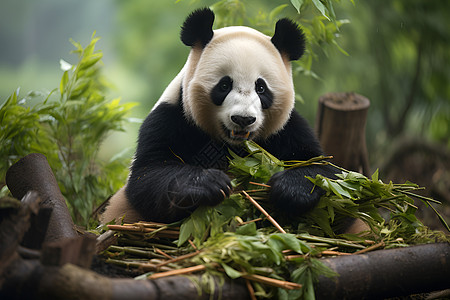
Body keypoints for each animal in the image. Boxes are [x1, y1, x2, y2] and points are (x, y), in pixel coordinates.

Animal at [102, 7, 340, 225]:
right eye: (224, 85)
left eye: (261, 88)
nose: (243, 119)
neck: (231, 147)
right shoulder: (170, 119)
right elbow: (148, 176)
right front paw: (209, 183)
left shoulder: (287, 130)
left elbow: (325, 170)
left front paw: (290, 189)